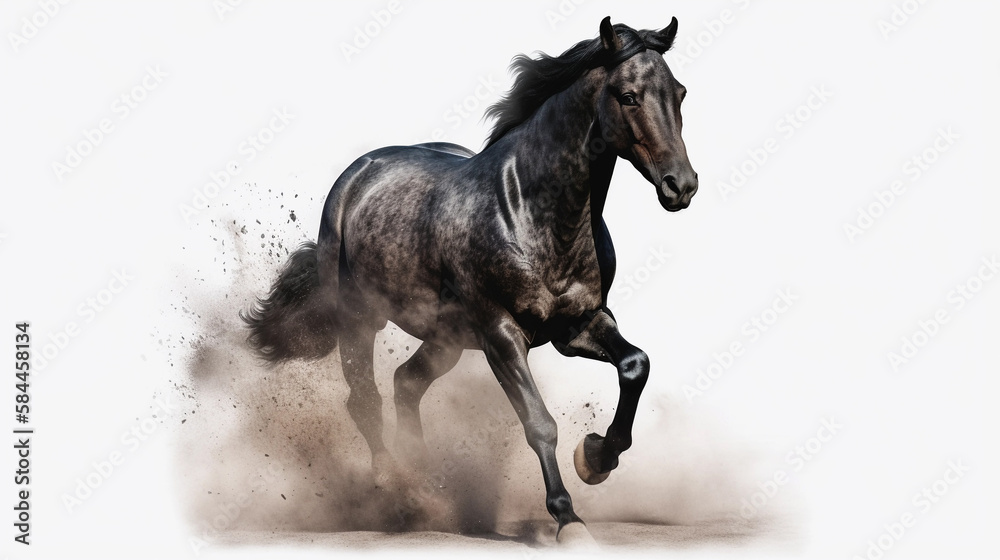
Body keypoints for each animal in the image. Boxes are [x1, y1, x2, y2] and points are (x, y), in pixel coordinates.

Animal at [241, 16, 697, 545]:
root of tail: (358, 173)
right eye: (628, 95)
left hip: (447, 340)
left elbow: (635, 365)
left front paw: (595, 458)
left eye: (680, 93)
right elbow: (539, 423)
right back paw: (395, 485)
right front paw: (569, 520)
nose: (681, 186)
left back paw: (427, 485)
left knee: (406, 383)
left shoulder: (580, 323)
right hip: (360, 320)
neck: (533, 215)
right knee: (365, 399)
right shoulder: (501, 334)